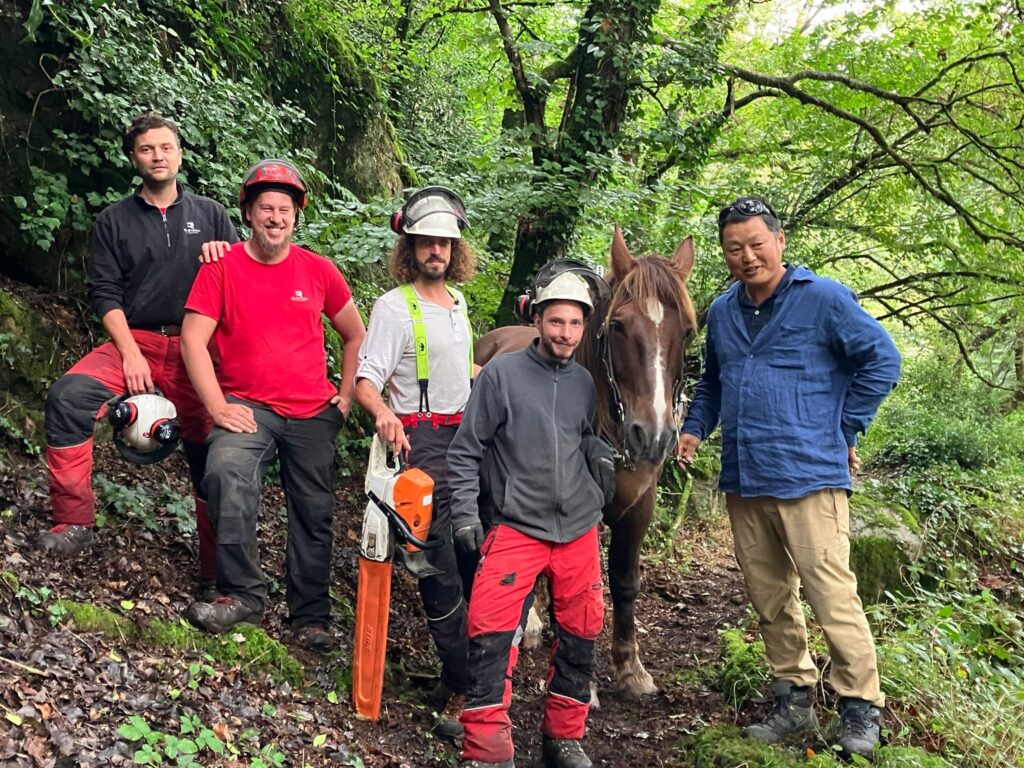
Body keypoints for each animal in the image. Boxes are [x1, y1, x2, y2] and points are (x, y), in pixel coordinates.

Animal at [473, 225, 696, 700]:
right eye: (617, 326)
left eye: (687, 331)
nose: (654, 436)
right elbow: (576, 587)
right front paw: (580, 679)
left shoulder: (639, 508)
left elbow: (625, 582)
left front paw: (630, 667)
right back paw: (532, 621)